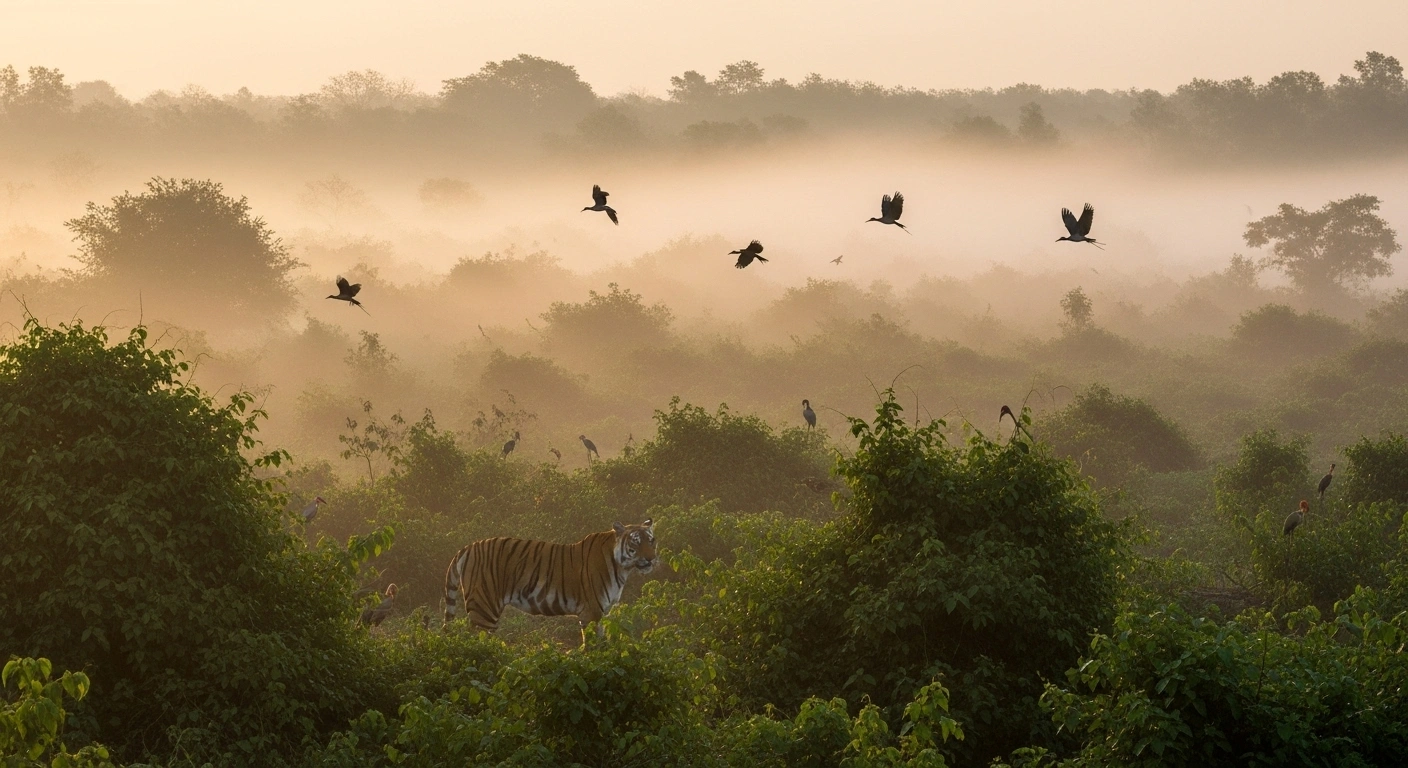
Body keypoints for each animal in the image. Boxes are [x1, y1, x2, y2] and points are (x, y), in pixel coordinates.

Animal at [443, 519, 658, 641]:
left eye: (651, 541)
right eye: (636, 543)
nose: (651, 559)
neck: (623, 568)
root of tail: (468, 547)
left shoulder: (601, 613)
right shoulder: (591, 612)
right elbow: (593, 645)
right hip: (484, 609)